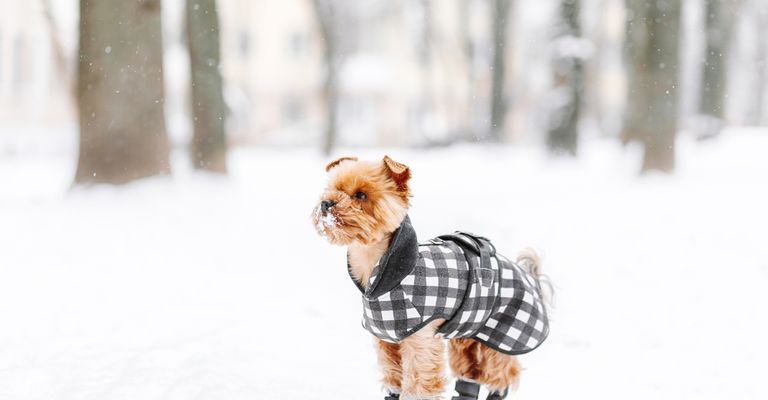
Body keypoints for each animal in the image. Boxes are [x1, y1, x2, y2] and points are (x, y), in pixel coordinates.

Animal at [310, 156, 544, 400]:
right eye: (332, 188)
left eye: (361, 195)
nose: (326, 203)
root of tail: (530, 278)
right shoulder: (386, 341)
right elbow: (393, 379)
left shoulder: (420, 342)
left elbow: (418, 385)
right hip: (467, 335)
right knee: (470, 375)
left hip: (500, 337)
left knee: (503, 375)